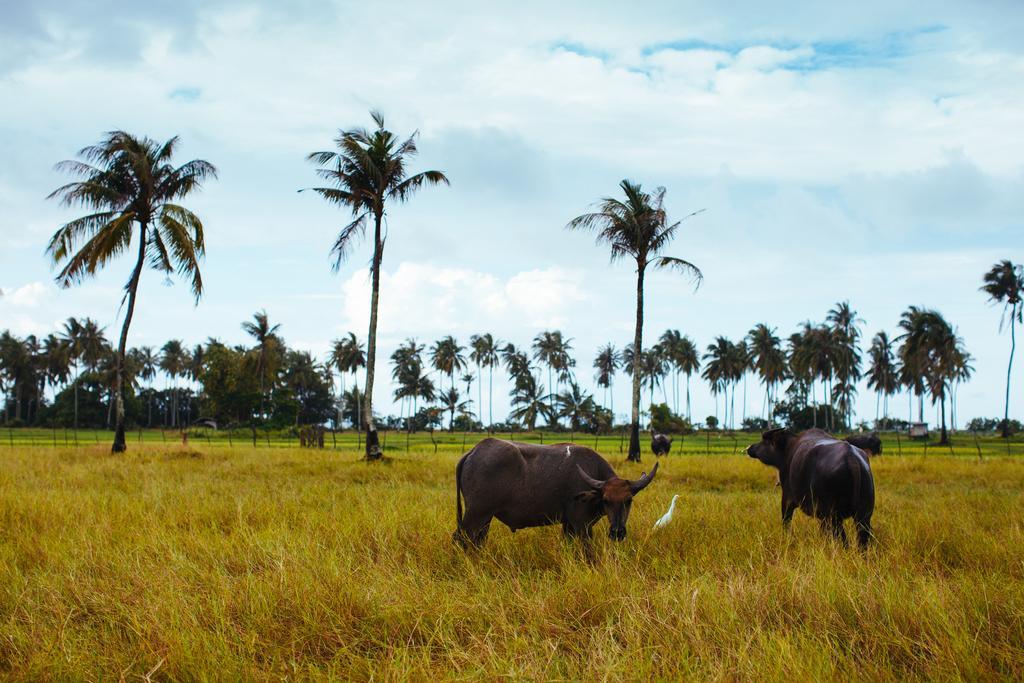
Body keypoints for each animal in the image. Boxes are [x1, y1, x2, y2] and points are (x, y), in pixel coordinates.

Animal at [452, 438, 659, 548]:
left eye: (629, 500)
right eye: (606, 500)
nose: (617, 532)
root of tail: (474, 451)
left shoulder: (568, 525)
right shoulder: (582, 525)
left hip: (485, 518)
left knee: (477, 540)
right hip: (476, 515)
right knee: (461, 538)